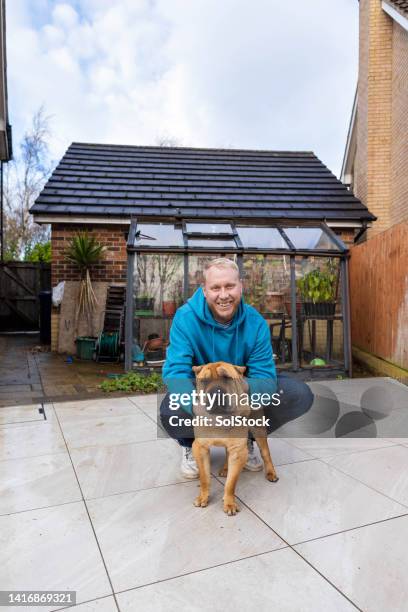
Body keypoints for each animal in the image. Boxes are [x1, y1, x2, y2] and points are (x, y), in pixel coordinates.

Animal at [193, 364, 278, 516]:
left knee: (265, 453)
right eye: (204, 381)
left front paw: (229, 502)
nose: (216, 392)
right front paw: (203, 496)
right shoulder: (200, 448)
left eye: (227, 377)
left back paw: (271, 473)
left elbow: (230, 483)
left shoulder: (238, 451)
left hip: (258, 429)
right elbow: (204, 478)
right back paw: (225, 468)